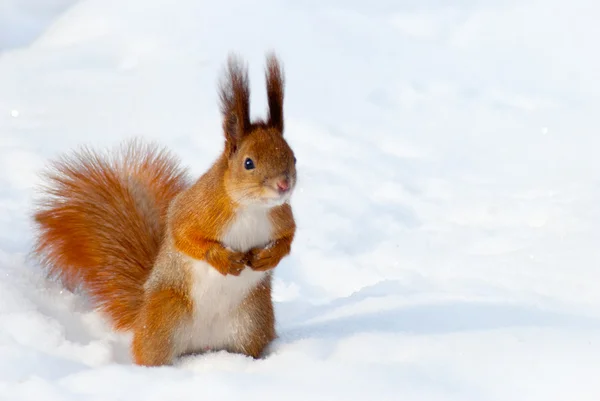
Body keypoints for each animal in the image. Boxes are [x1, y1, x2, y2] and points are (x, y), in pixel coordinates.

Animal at [30, 53, 298, 366]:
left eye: (293, 156)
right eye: (248, 163)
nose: (284, 184)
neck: (251, 207)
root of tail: (203, 344)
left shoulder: (281, 217)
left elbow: (287, 239)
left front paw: (268, 257)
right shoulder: (196, 209)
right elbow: (184, 236)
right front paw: (222, 259)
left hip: (252, 320)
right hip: (165, 316)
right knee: (151, 353)